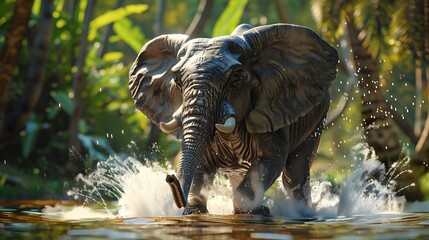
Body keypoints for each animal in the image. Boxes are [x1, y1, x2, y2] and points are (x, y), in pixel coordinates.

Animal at [128, 23, 338, 216]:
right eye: (177, 80)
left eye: (237, 77)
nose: (170, 178)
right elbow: (201, 163)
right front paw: (195, 211)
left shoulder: (271, 111)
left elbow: (271, 159)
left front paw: (255, 211)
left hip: (317, 115)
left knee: (295, 173)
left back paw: (301, 212)